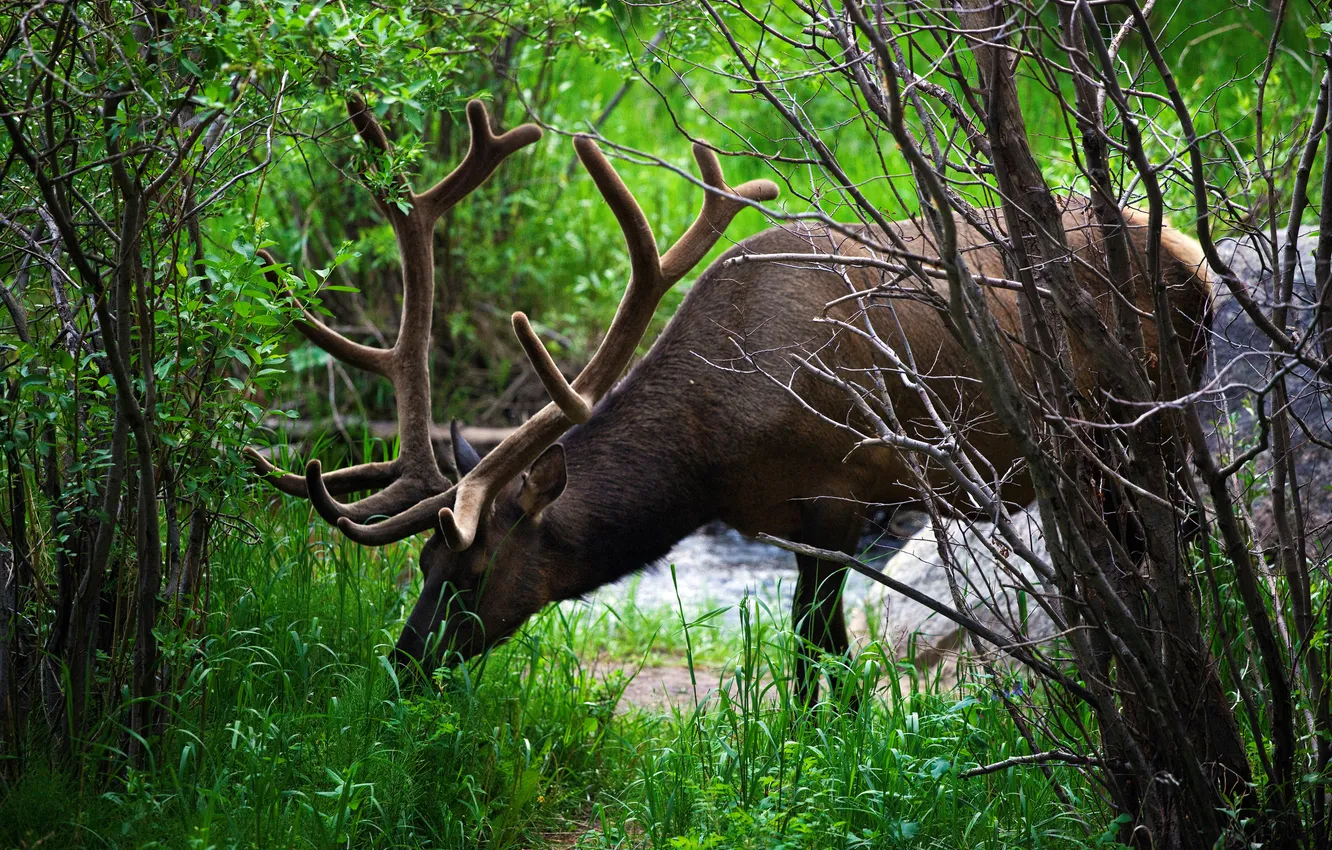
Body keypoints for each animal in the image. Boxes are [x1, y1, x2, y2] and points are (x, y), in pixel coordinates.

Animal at [248, 95, 1213, 701]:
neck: (711, 457)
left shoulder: (838, 493)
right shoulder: (783, 519)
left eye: (474, 571)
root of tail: (1190, 253)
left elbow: (818, 653)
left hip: (1146, 423)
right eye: (421, 565)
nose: (404, 665)